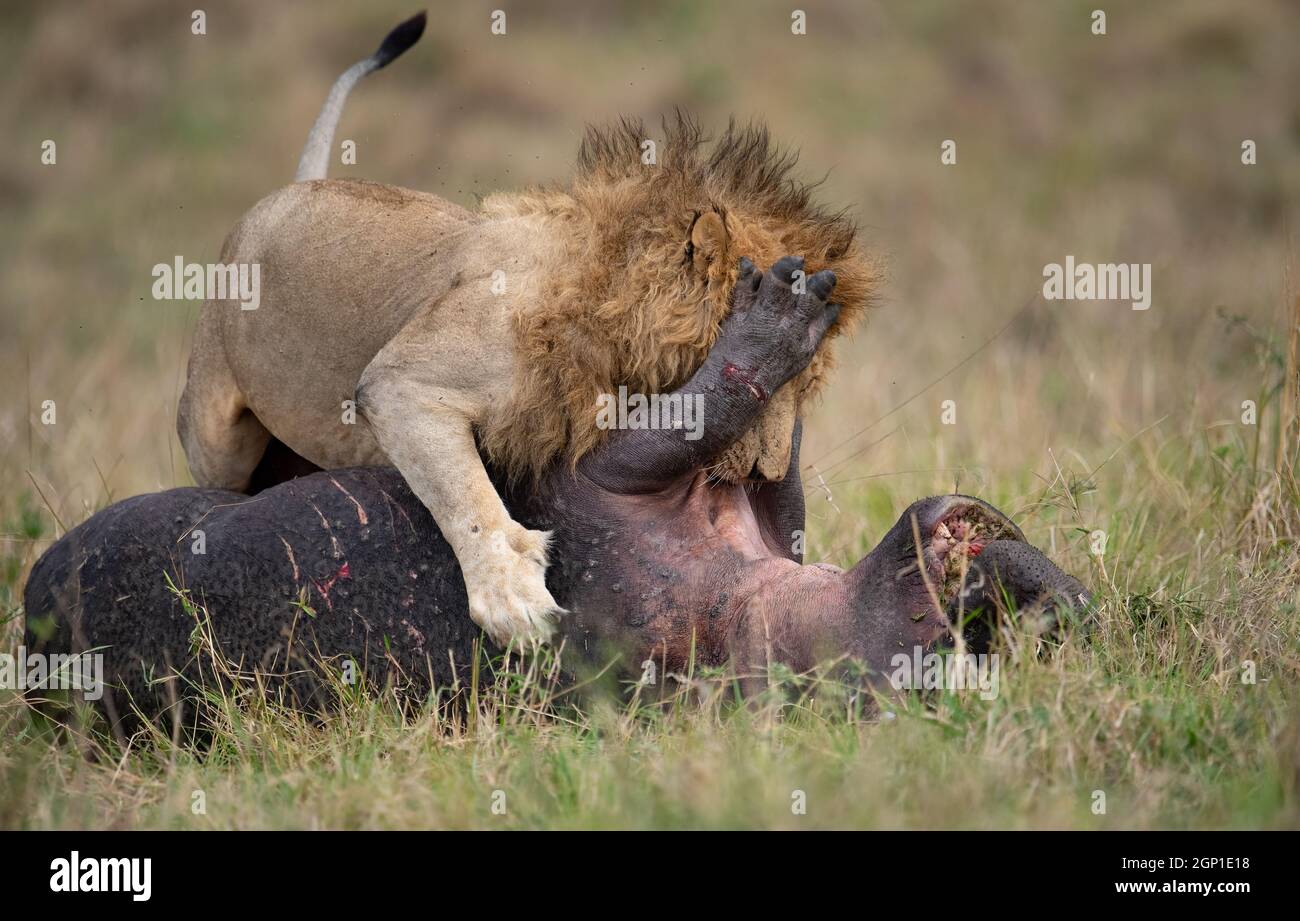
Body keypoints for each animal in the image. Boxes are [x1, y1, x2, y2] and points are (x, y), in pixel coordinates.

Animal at [175, 12, 883, 647]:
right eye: (792, 379)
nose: (766, 473)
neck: (605, 304)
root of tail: (288, 192)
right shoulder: (399, 386)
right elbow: (466, 496)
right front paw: (511, 598)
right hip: (215, 427)